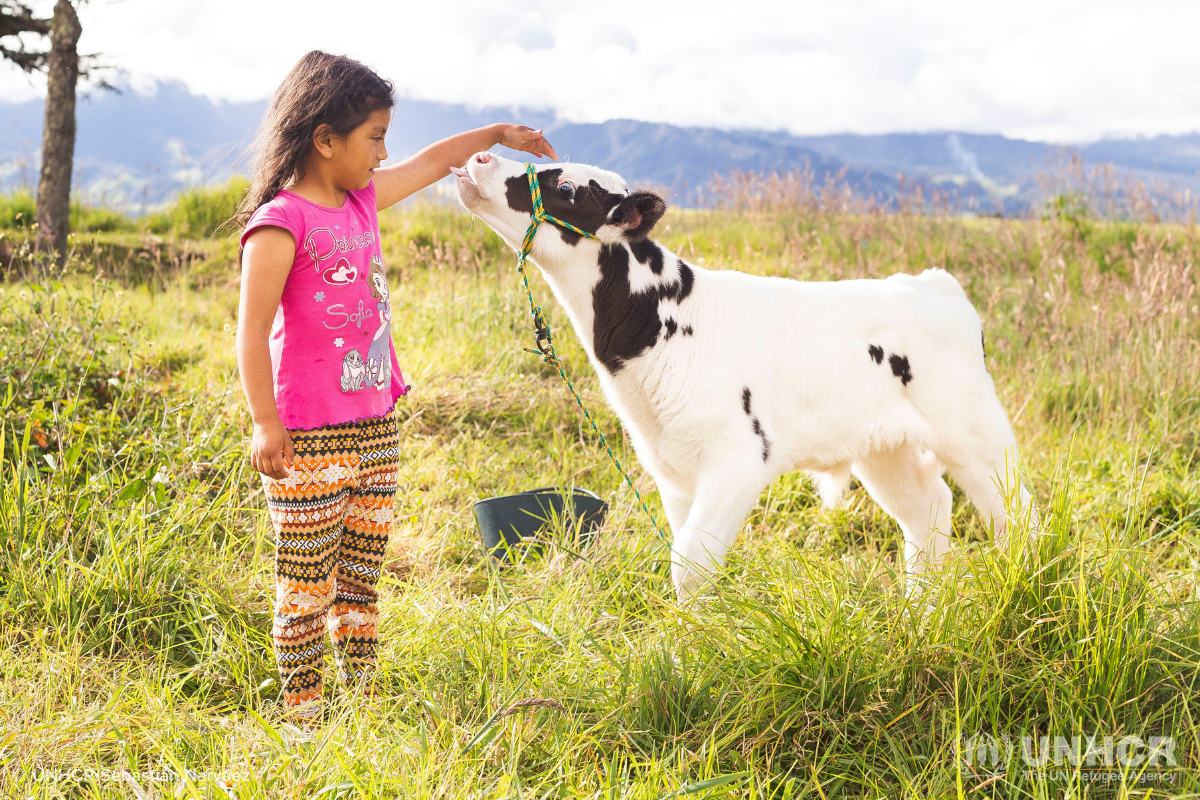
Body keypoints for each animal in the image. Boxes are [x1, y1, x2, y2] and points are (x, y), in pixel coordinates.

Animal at [453, 151, 1036, 599]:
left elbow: (689, 563)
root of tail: (932, 283)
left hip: (976, 434)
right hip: (884, 448)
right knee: (928, 513)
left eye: (568, 187)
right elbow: (685, 555)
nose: (480, 157)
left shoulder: (738, 459)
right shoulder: (673, 470)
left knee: (1017, 515)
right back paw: (919, 614)